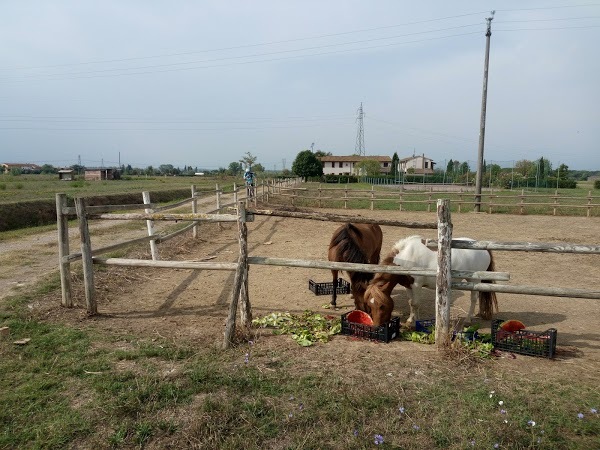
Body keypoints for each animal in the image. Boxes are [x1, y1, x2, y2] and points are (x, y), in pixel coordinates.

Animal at [364, 236, 500, 326]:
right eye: (369, 305)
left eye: (382, 306)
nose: (376, 326)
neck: (406, 259)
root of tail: (485, 249)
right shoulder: (408, 286)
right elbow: (411, 302)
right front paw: (415, 319)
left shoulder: (416, 285)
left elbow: (415, 303)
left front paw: (411, 322)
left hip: (474, 280)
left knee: (474, 299)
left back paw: (468, 319)